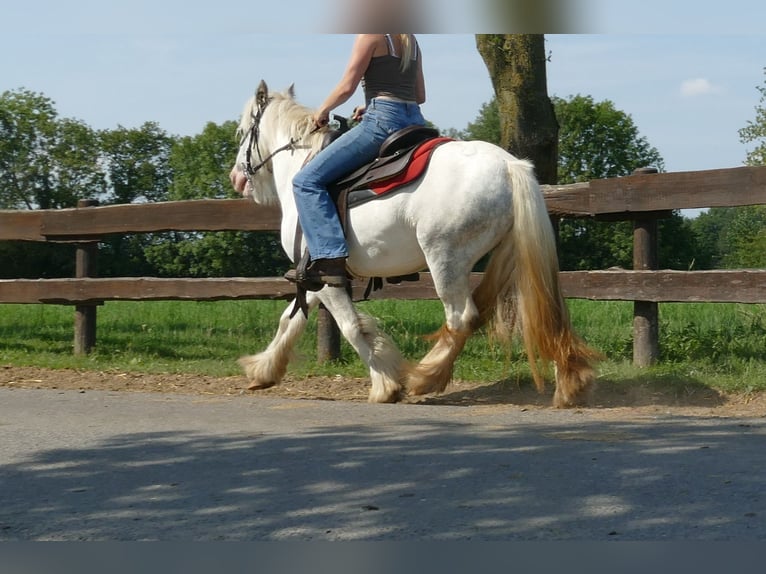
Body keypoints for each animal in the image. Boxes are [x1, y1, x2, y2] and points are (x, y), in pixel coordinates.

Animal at [229, 81, 601, 407]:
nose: (236, 177)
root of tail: (510, 165)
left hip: (445, 259)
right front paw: (264, 369)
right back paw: (571, 380)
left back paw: (425, 376)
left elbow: (350, 327)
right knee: (546, 315)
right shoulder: (317, 277)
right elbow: (290, 320)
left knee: (461, 318)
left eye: (243, 131)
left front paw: (385, 385)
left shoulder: (324, 277)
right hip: (513, 257)